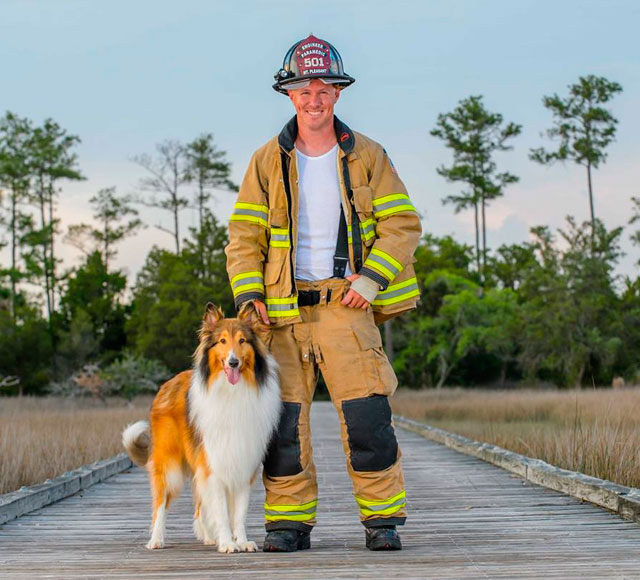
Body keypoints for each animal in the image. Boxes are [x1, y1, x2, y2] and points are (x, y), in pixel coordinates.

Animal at [121, 304, 278, 552]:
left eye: (242, 341)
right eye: (222, 341)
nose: (233, 362)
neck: (232, 392)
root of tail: (167, 384)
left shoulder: (243, 463)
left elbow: (239, 513)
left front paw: (241, 541)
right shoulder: (213, 464)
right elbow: (222, 512)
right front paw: (227, 543)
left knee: (198, 505)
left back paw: (208, 535)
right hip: (169, 463)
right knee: (160, 503)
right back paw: (156, 540)